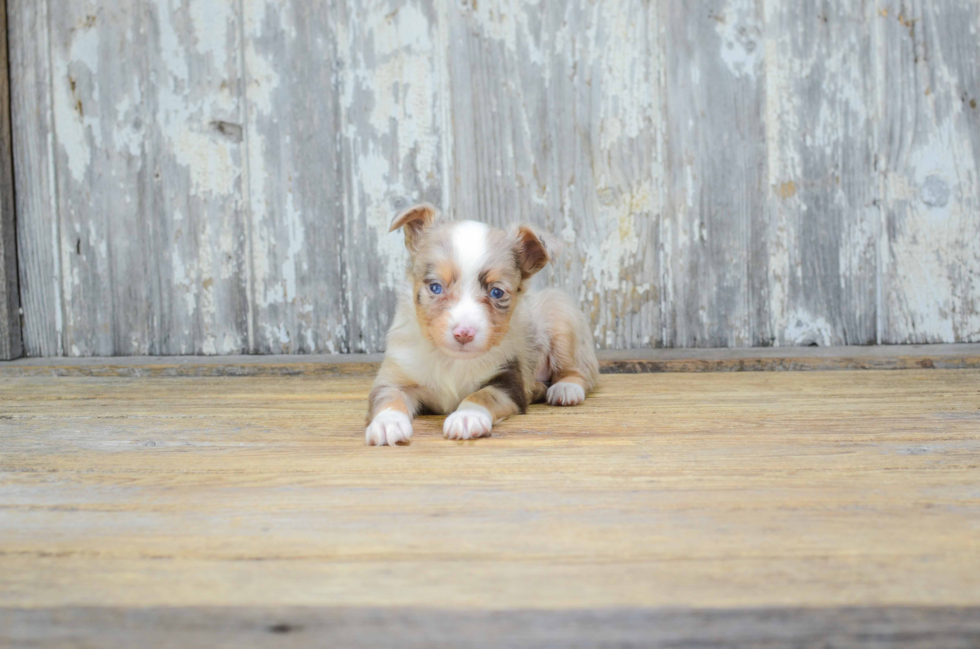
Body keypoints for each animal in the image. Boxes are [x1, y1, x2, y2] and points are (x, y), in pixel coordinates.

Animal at [366, 202, 596, 446]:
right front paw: (387, 423)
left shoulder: (507, 380)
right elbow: (389, 397)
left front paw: (467, 417)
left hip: (561, 318)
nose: (464, 333)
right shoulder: (395, 376)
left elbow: (482, 395)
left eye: (496, 292)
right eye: (435, 287)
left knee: (579, 370)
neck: (451, 360)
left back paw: (566, 388)